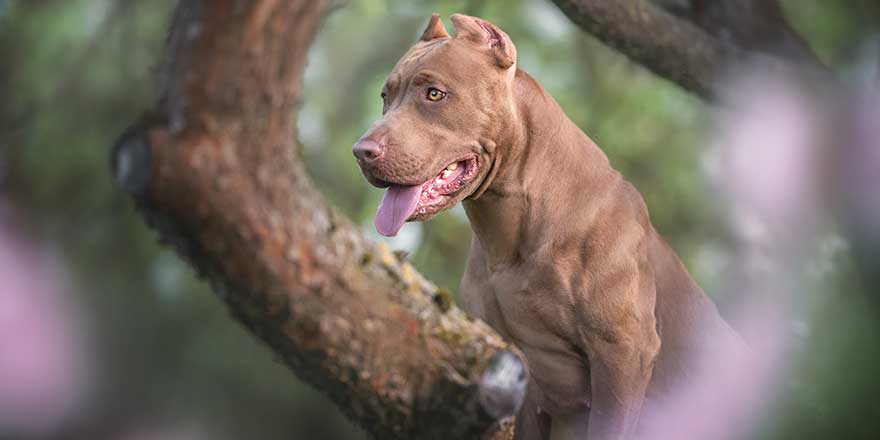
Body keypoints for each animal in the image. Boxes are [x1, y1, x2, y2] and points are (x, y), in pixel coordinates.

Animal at [350, 13, 744, 440]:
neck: (510, 230)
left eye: (434, 94)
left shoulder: (623, 354)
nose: (361, 152)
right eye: (385, 96)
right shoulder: (517, 380)